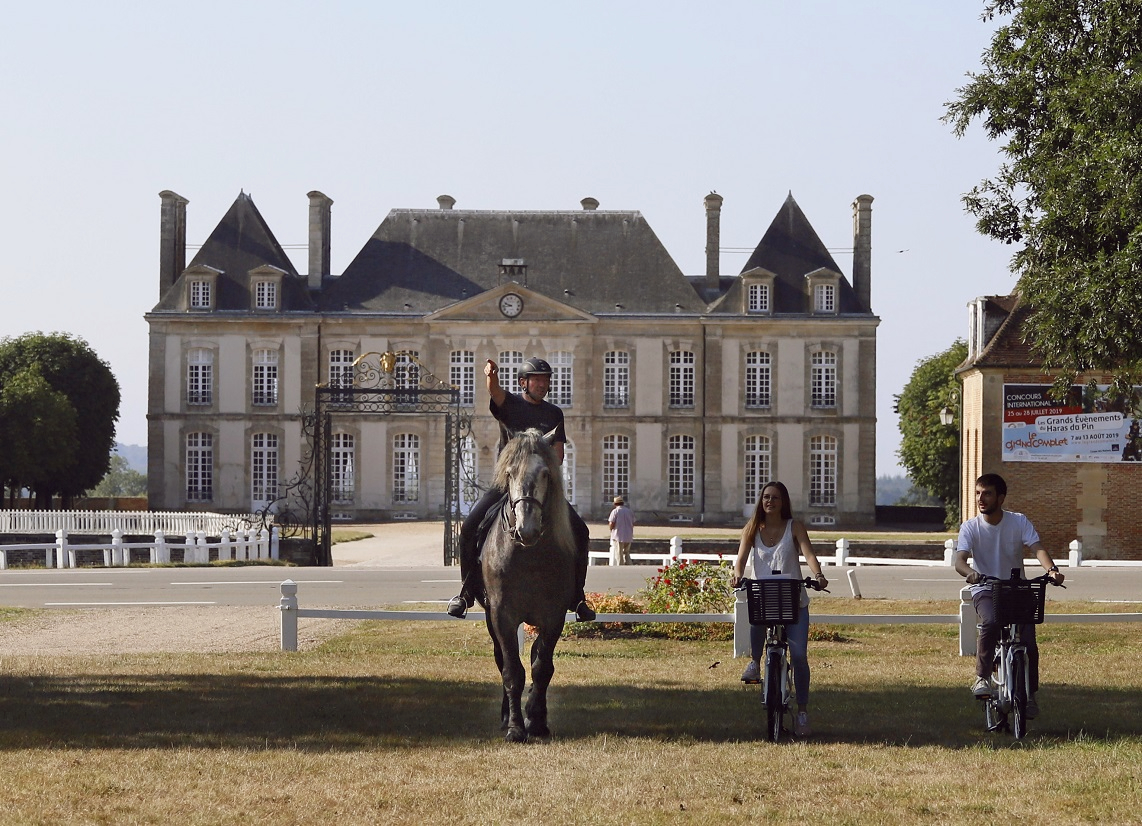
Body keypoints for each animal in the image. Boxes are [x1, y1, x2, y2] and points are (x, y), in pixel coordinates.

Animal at [477, 427, 575, 744]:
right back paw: (506, 715)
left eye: (545, 473)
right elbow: (512, 671)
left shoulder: (554, 615)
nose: (527, 529)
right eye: (509, 473)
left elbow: (541, 667)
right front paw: (515, 727)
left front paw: (537, 721)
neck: (529, 555)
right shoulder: (502, 615)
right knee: (502, 660)